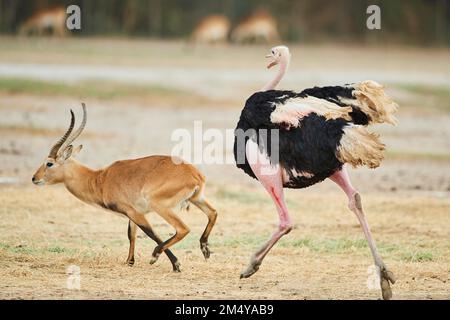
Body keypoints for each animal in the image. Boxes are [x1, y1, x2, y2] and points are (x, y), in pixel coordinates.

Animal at [31, 104, 218, 272]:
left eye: (49, 163)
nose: (34, 178)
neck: (100, 179)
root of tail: (194, 174)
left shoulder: (134, 212)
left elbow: (151, 233)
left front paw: (175, 264)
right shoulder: (133, 213)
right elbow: (131, 234)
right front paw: (129, 261)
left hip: (161, 206)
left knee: (183, 229)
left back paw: (156, 255)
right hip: (197, 198)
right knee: (213, 213)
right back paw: (205, 249)